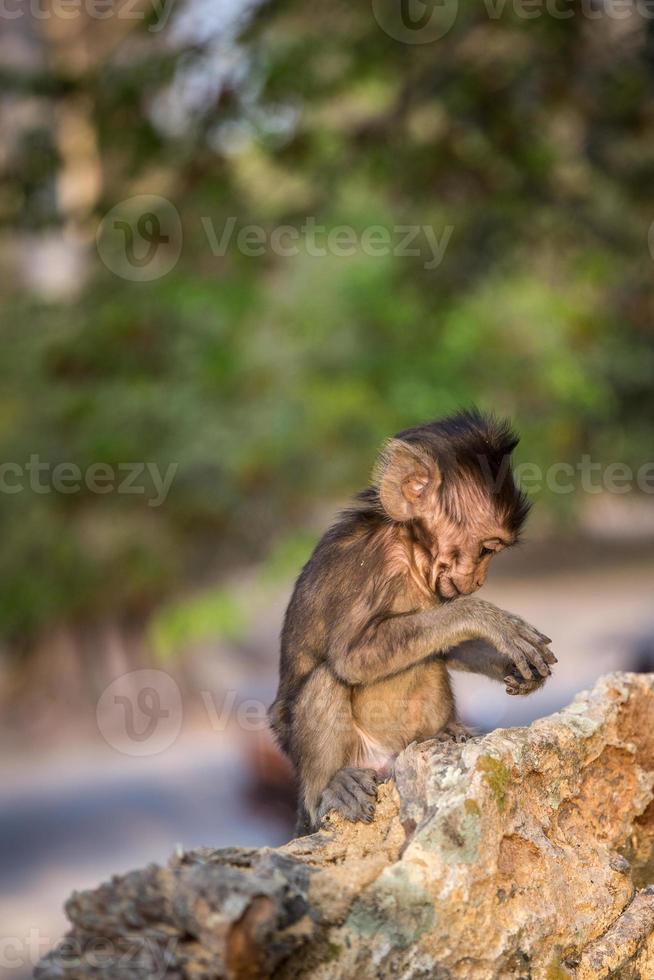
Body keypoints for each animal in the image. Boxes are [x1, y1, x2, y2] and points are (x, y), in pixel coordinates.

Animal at [270, 410, 556, 832]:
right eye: (486, 550)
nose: (480, 580)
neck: (410, 547)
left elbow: (448, 645)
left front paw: (514, 666)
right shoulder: (373, 562)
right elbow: (351, 657)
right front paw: (485, 617)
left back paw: (447, 734)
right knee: (326, 678)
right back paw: (331, 786)